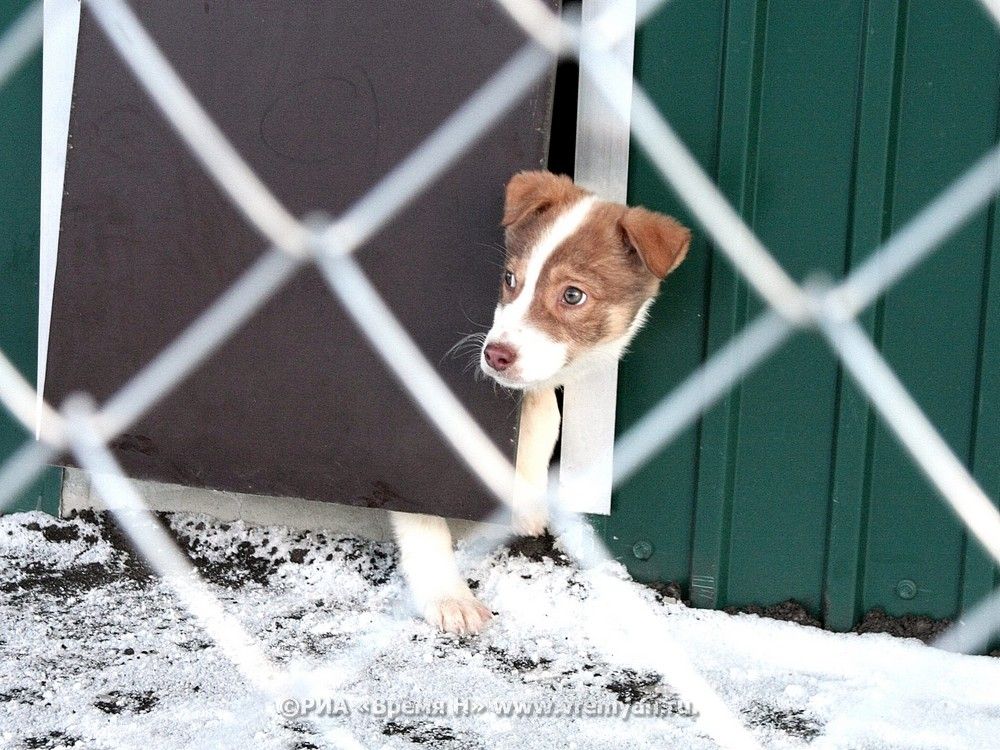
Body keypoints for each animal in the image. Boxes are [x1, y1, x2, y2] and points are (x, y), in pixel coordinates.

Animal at [388, 172, 688, 636]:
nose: (494, 355)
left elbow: (544, 413)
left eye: (573, 296)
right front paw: (448, 598)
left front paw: (524, 499)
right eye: (510, 279)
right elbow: (422, 505)